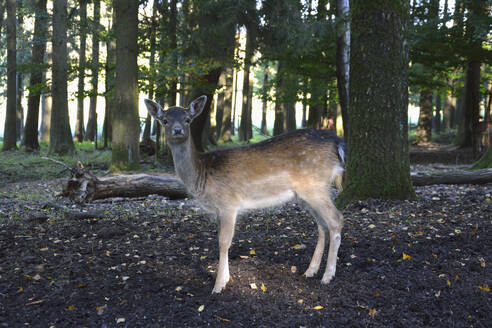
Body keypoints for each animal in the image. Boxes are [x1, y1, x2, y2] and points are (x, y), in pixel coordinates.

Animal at [145, 96, 346, 294]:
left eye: (187, 120)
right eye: (165, 121)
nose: (178, 130)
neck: (202, 174)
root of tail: (339, 143)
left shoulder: (228, 203)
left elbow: (224, 241)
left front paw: (218, 285)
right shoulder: (219, 210)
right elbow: (221, 240)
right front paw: (225, 278)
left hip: (315, 187)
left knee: (337, 219)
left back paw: (328, 275)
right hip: (305, 195)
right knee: (322, 225)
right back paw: (310, 270)